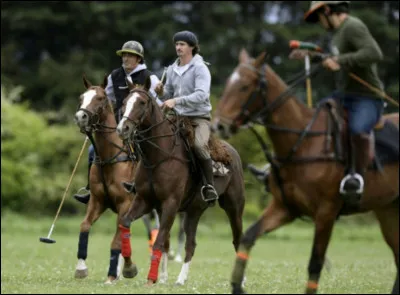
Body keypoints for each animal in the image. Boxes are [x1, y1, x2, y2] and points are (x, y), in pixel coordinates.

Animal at [73, 75, 139, 284]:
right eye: (81, 96)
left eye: (101, 98)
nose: (81, 117)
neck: (110, 158)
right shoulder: (97, 201)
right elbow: (84, 226)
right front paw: (81, 268)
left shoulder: (125, 205)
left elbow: (116, 241)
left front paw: (112, 275)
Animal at [115, 77, 247, 286]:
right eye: (125, 102)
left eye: (142, 102)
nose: (123, 129)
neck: (158, 157)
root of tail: (232, 152)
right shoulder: (144, 201)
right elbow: (126, 224)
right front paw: (129, 269)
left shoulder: (170, 204)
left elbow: (159, 240)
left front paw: (151, 279)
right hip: (194, 211)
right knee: (191, 244)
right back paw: (180, 279)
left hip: (234, 208)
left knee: (237, 240)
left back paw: (241, 281)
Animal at [211, 49, 398, 294]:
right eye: (228, 84)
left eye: (244, 86)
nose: (219, 125)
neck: (302, 142)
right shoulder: (284, 208)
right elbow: (248, 237)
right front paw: (236, 285)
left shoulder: (326, 212)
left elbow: (315, 263)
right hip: (387, 208)